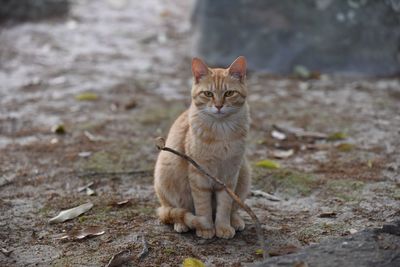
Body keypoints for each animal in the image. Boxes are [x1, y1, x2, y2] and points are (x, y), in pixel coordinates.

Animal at [153, 56, 250, 241]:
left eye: (229, 93)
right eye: (208, 94)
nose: (218, 106)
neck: (221, 131)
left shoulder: (229, 176)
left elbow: (225, 206)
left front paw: (223, 227)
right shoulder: (199, 175)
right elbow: (203, 207)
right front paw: (206, 228)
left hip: (244, 174)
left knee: (233, 208)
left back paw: (235, 220)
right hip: (166, 177)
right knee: (173, 212)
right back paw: (182, 223)